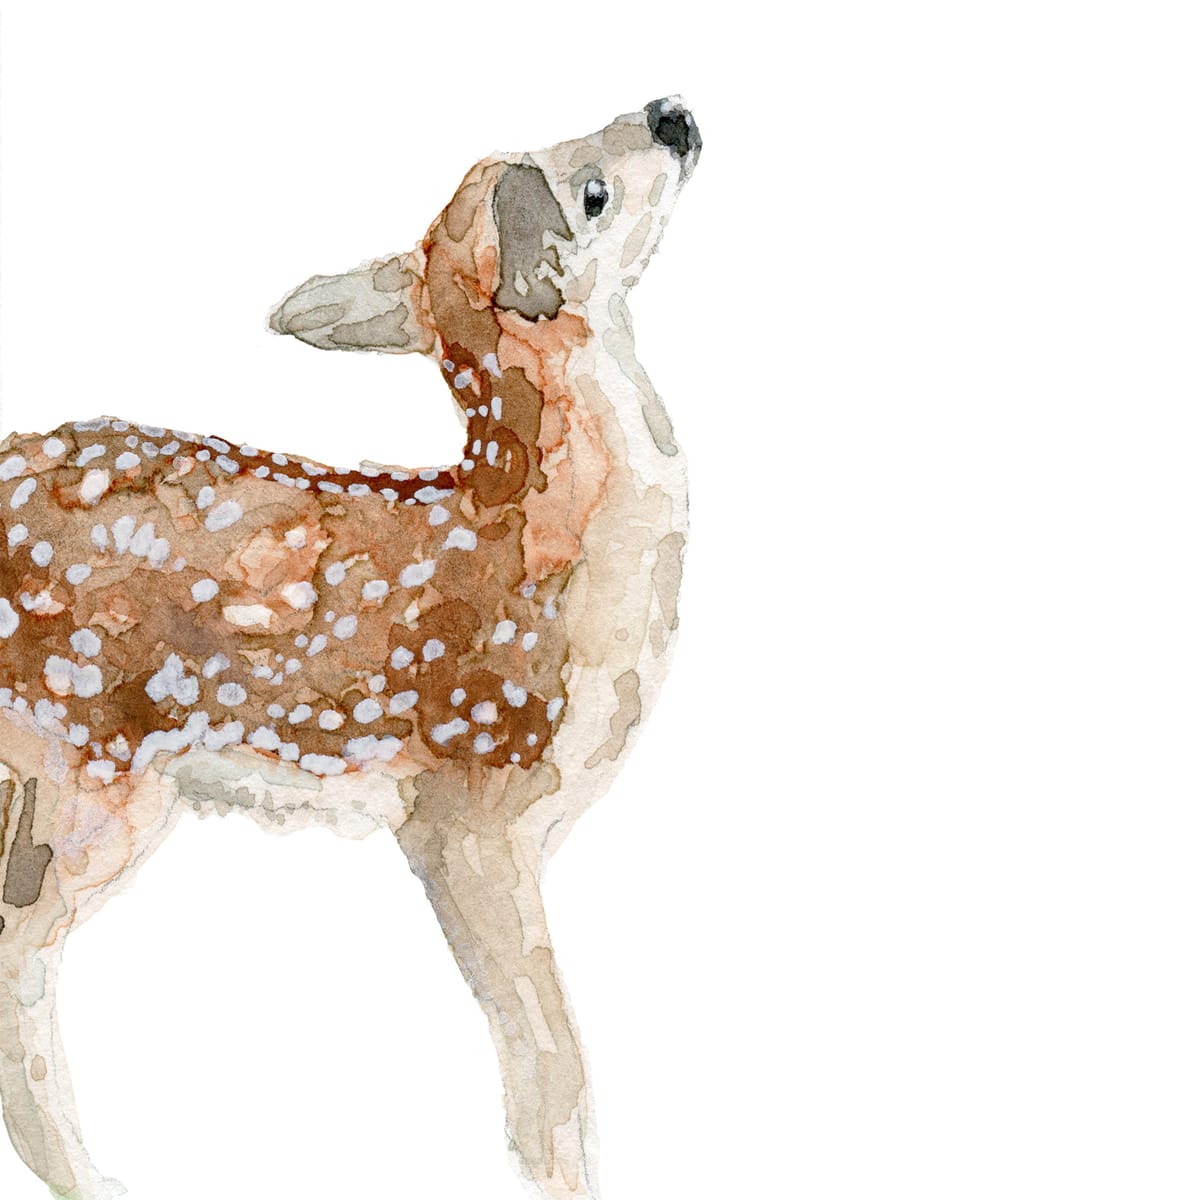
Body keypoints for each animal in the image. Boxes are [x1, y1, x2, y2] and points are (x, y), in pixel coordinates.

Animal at [0, 96, 700, 1200]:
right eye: (590, 191)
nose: (673, 113)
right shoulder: (465, 806)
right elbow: (551, 1060)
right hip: (89, 764)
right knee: (16, 959)